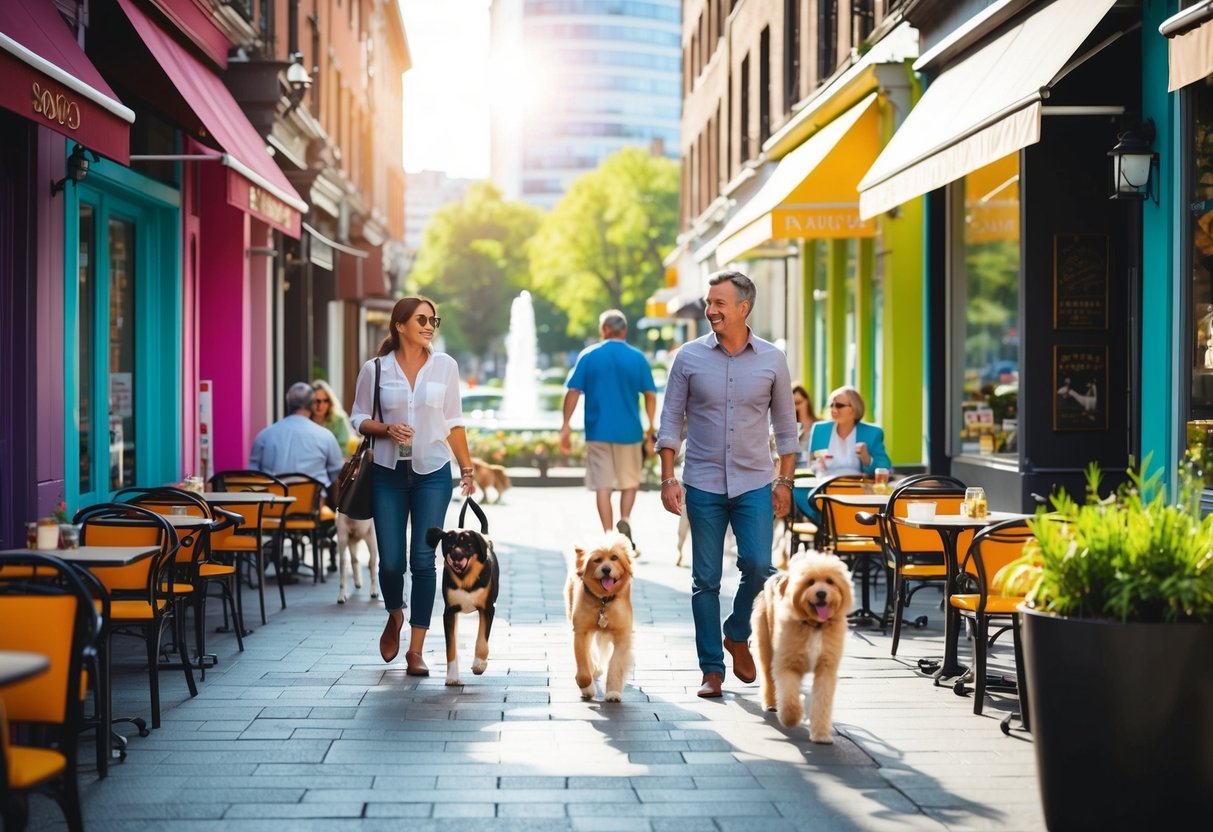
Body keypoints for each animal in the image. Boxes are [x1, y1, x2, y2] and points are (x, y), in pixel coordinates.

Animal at [426, 502, 497, 684]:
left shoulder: (487, 608)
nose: (455, 554)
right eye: (449, 543)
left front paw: (479, 664)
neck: (465, 579)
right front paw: (452, 677)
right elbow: (451, 646)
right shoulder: (450, 612)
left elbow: (482, 640)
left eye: (468, 544)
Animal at [562, 533, 635, 703]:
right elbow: (583, 666)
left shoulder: (623, 635)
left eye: (614, 557)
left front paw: (613, 692)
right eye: (597, 560)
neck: (603, 601)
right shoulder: (581, 632)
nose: (606, 569)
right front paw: (586, 687)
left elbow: (616, 665)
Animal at [747, 553, 853, 742]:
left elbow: (822, 702)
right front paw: (791, 717)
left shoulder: (826, 669)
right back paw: (771, 704)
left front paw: (821, 734)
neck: (814, 626)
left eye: (830, 581)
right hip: (766, 649)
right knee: (768, 679)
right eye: (810, 582)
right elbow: (789, 696)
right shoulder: (787, 664)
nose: (821, 593)